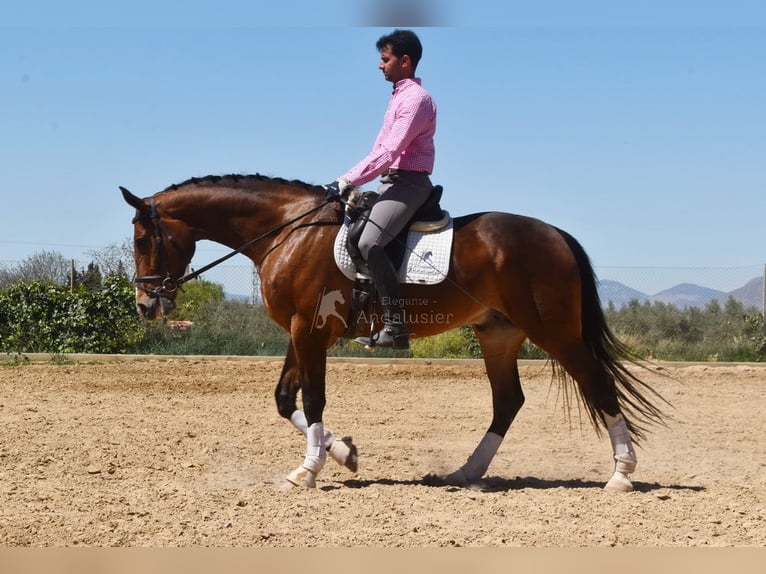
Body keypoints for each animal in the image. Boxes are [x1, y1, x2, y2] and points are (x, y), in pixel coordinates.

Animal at [123, 173, 668, 492]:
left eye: (144, 239)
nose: (147, 305)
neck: (289, 230)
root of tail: (556, 234)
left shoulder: (310, 331)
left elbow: (313, 400)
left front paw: (310, 470)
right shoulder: (299, 333)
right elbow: (284, 399)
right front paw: (343, 454)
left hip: (555, 332)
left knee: (597, 384)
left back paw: (621, 475)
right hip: (498, 335)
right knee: (508, 401)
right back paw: (465, 473)